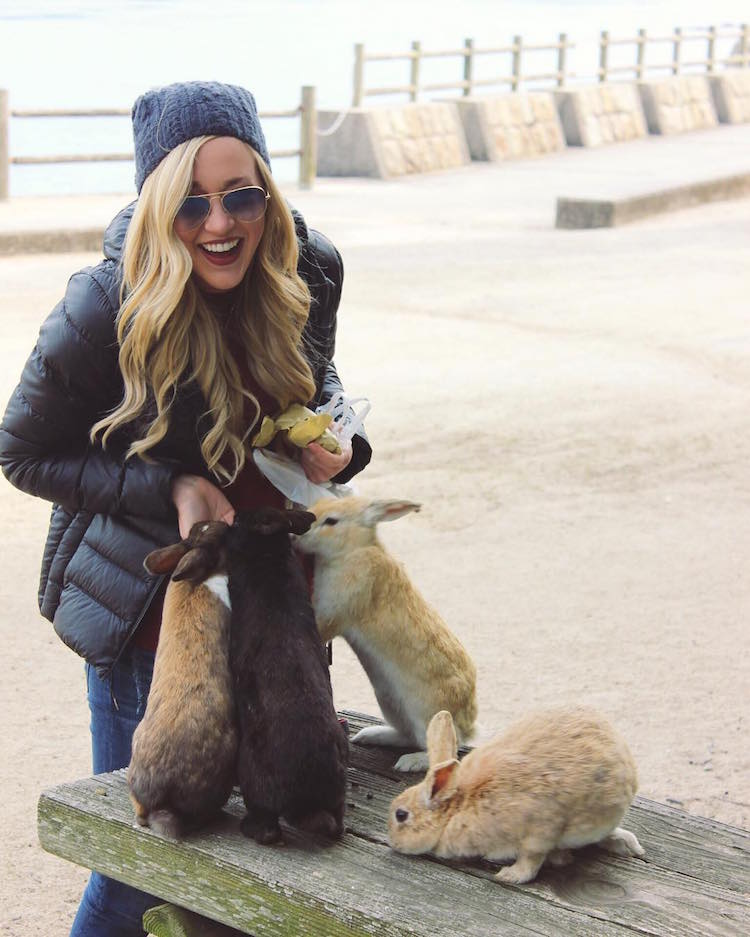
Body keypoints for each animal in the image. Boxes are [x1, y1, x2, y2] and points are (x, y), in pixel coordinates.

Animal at [226, 508, 350, 844]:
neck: (269, 557)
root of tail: (306, 802)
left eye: (239, 522)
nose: (230, 521)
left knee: (267, 827)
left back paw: (250, 828)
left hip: (252, 772)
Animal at [296, 494, 478, 772]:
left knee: (444, 749)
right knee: (407, 736)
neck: (352, 551)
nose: (298, 534)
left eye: (331, 521)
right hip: (390, 702)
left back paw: (409, 763)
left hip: (426, 712)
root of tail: (468, 724)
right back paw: (370, 735)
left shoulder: (334, 611)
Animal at [388, 704, 648, 880]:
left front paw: (508, 875)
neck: (459, 806)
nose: (393, 843)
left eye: (401, 815)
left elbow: (530, 862)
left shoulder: (540, 831)